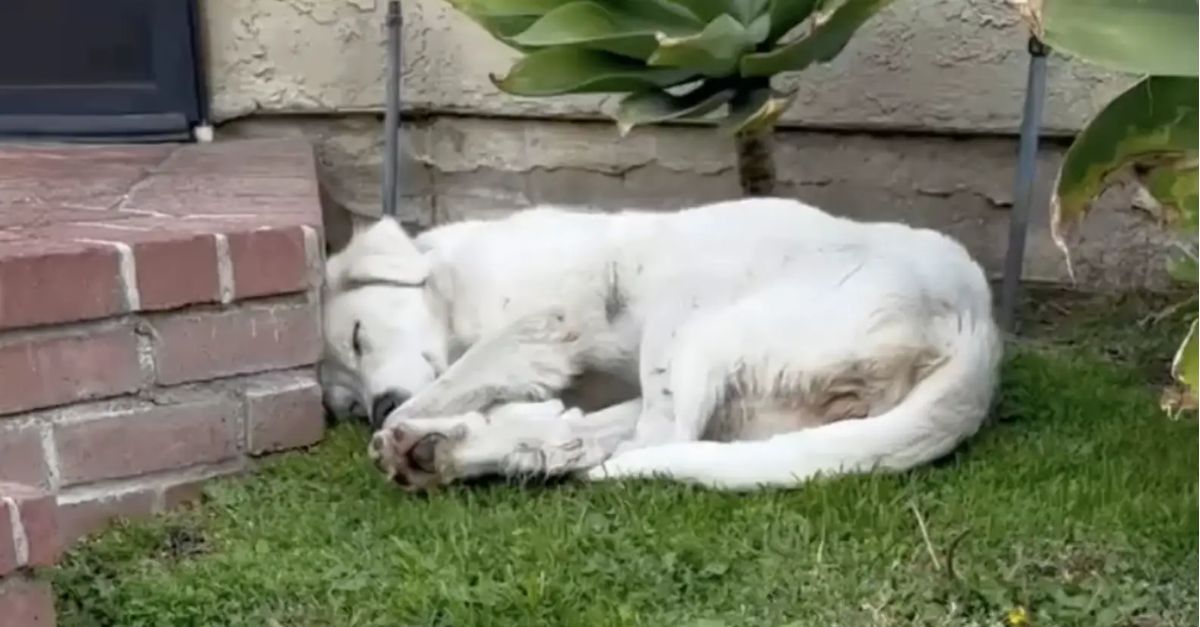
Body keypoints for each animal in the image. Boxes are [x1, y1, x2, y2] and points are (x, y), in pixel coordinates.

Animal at [319, 198, 1003, 490]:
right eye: (343, 403)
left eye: (357, 338)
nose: (373, 409)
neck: (451, 287)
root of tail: (976, 329)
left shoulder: (546, 318)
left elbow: (454, 379)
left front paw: (418, 414)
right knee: (633, 437)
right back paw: (447, 452)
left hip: (692, 316)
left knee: (652, 440)